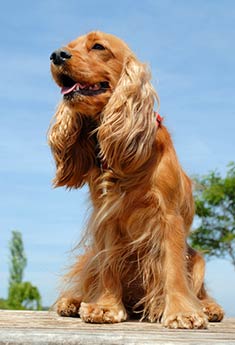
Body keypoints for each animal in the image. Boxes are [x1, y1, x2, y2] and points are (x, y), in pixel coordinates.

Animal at [48, 30, 224, 326]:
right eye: (69, 46)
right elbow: (108, 266)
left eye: (98, 47)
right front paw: (105, 307)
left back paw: (208, 308)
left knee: (199, 289)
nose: (57, 55)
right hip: (90, 256)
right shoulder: (107, 218)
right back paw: (73, 301)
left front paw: (182, 312)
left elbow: (173, 269)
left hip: (198, 260)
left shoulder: (168, 216)